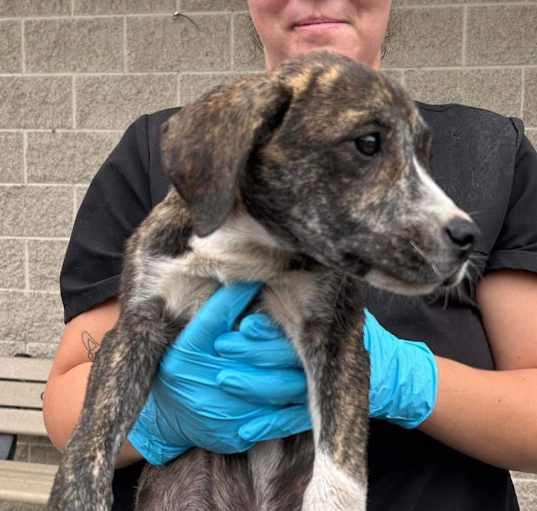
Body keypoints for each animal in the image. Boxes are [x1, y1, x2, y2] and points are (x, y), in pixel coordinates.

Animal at [47, 52, 478, 511]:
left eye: (424, 154)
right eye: (367, 143)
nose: (468, 237)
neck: (253, 245)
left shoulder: (337, 337)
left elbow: (339, 465)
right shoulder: (136, 322)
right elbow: (91, 432)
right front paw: (78, 496)